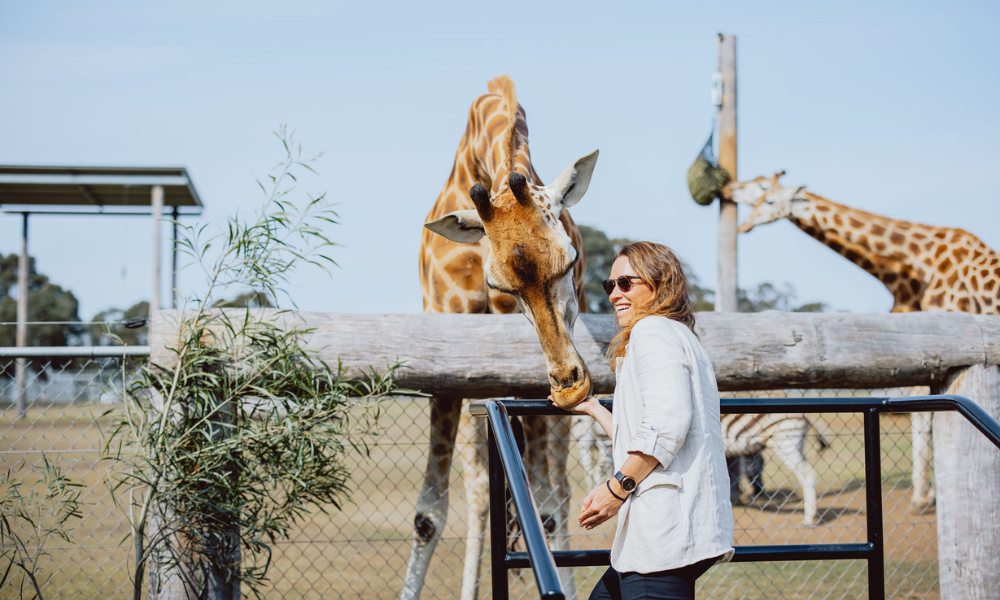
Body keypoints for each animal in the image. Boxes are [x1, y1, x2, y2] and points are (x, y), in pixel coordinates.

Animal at [404, 76, 596, 600]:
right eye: (500, 284)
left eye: (571, 260)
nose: (569, 381)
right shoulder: (447, 362)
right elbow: (429, 515)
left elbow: (545, 511)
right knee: (481, 492)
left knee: (558, 496)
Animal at [728, 172, 1000, 510]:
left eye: (767, 196)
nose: (728, 190)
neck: (916, 265)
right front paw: (926, 495)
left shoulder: (948, 339)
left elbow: (926, 416)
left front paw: (924, 496)